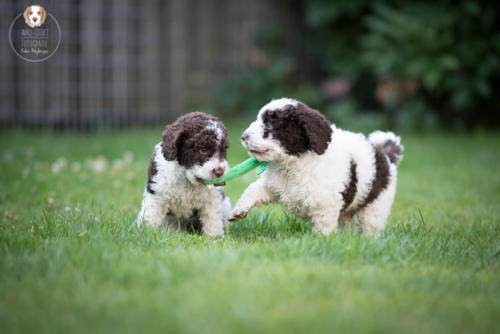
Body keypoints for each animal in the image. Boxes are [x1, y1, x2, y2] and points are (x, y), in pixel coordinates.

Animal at [227, 98, 402, 236]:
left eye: (269, 123)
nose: (243, 136)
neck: (293, 163)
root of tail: (387, 158)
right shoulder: (275, 186)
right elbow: (253, 189)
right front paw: (238, 210)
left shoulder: (325, 206)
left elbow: (322, 229)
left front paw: (319, 242)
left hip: (375, 206)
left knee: (370, 227)